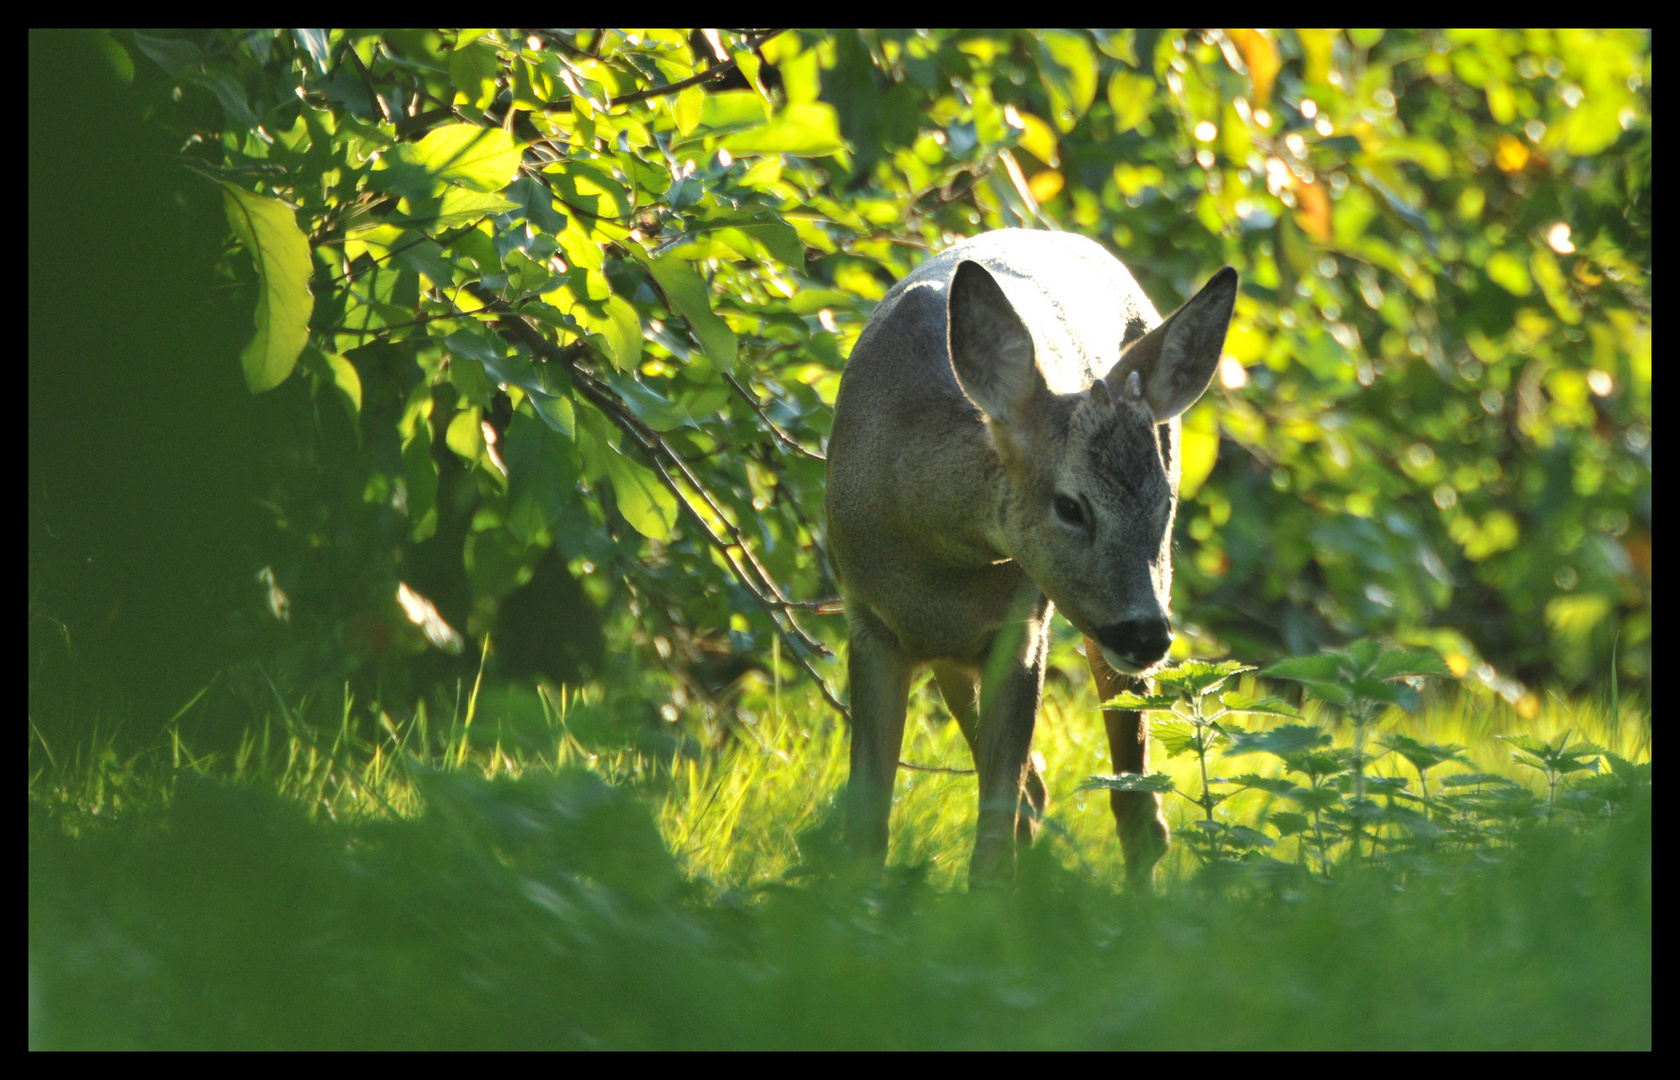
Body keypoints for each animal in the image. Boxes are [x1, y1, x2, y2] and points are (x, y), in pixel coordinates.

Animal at [823, 230, 1236, 886]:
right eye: (1070, 506)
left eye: (1164, 503)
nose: (1148, 635)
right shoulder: (869, 621)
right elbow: (867, 823)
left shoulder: (1021, 630)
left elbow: (995, 832)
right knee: (1039, 790)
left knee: (1132, 804)